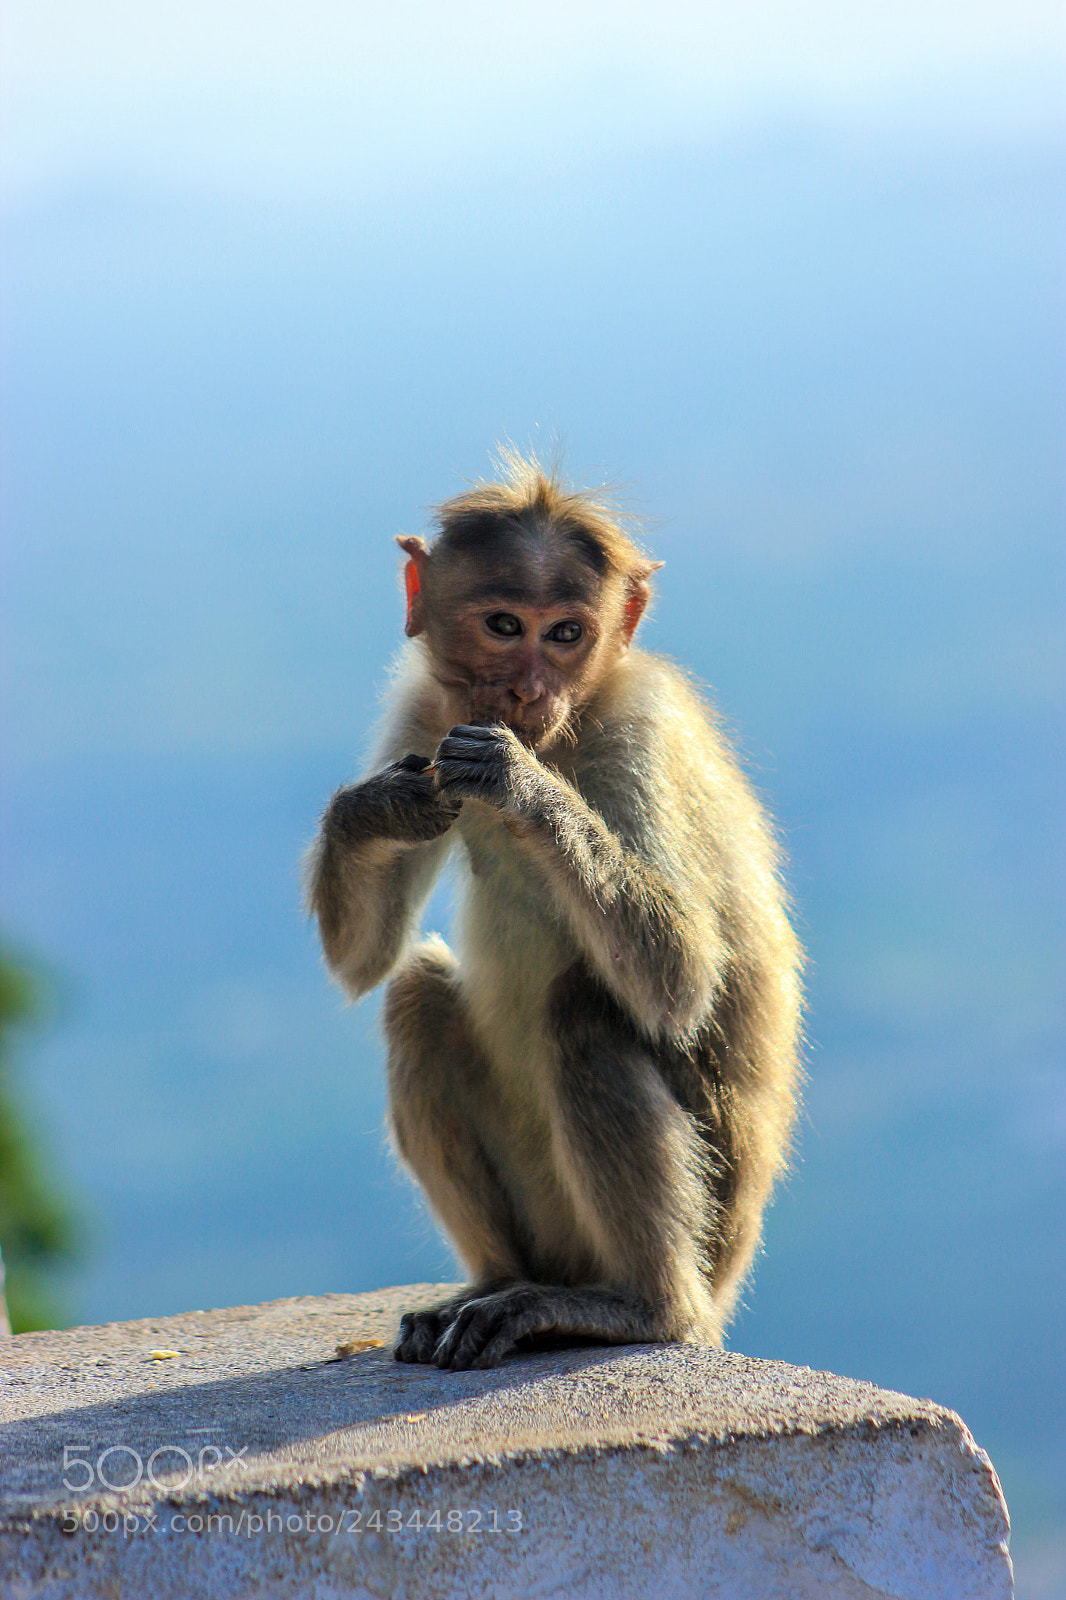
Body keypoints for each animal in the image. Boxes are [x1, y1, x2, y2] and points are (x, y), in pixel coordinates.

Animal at [306, 451, 802, 1371]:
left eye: (567, 633)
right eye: (505, 625)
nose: (532, 687)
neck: (563, 732)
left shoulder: (642, 730)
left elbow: (681, 979)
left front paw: (522, 787)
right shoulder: (427, 711)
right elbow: (364, 960)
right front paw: (375, 807)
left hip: (703, 1234)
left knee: (585, 1012)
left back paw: (642, 1311)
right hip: (546, 1219)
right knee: (415, 993)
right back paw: (495, 1282)